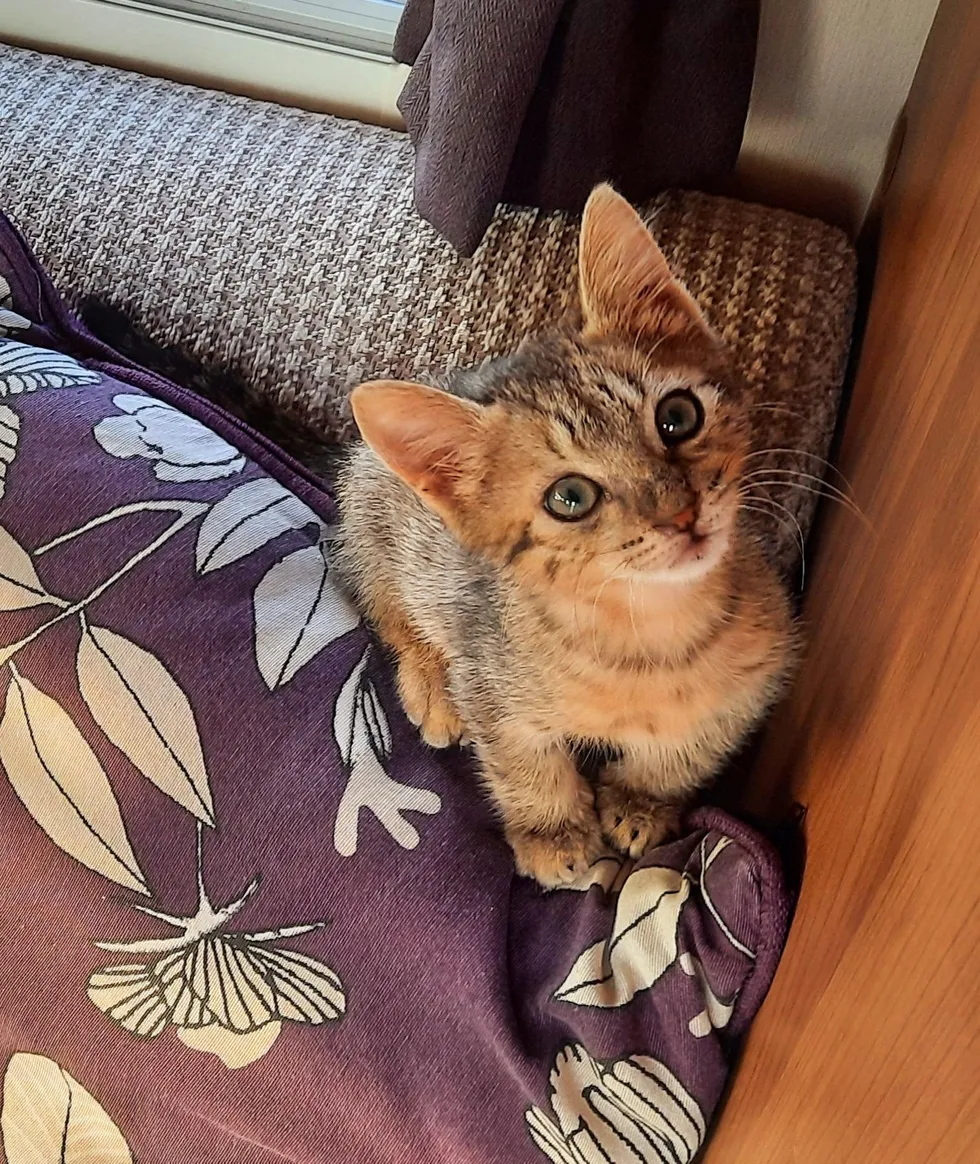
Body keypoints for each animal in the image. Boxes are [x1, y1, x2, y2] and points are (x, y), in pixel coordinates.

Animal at [335, 186, 796, 884]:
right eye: (570, 498)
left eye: (678, 415)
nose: (680, 514)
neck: (651, 636)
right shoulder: (495, 687)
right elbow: (523, 764)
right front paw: (553, 834)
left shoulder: (751, 681)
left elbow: (686, 751)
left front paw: (641, 800)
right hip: (375, 531)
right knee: (395, 617)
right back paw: (432, 688)